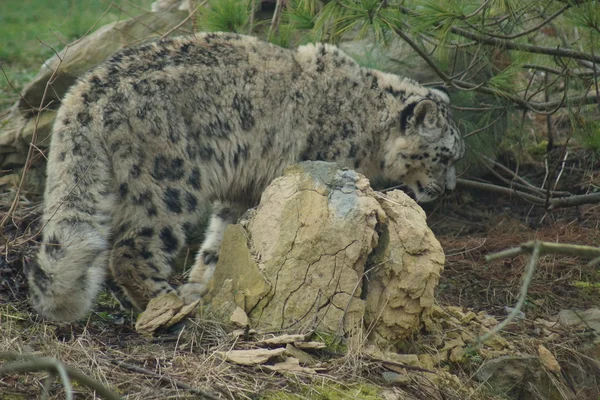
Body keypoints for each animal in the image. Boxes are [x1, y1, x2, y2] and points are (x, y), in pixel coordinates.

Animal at [28, 30, 466, 322]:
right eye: (446, 157)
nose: (449, 188)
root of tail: (84, 91)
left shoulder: (240, 192)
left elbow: (221, 241)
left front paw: (205, 286)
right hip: (169, 185)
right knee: (130, 249)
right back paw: (168, 306)